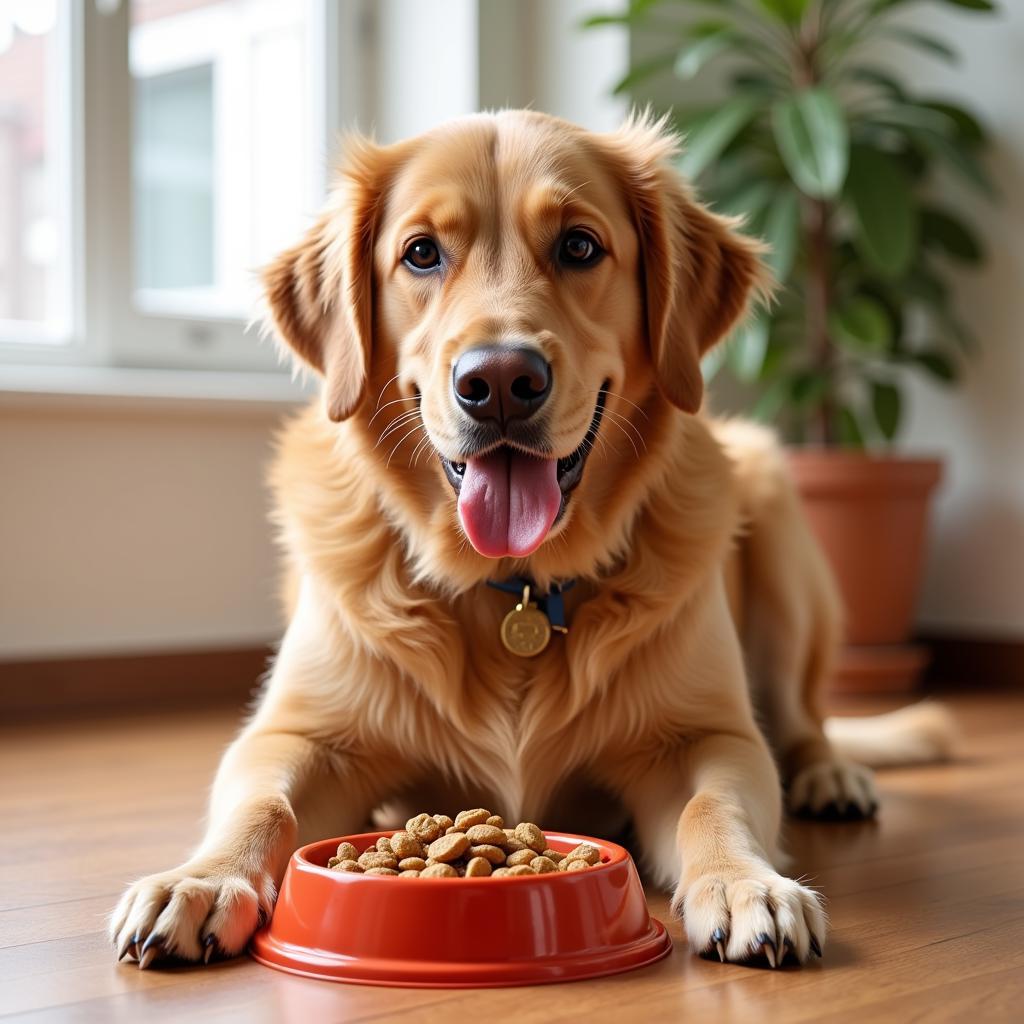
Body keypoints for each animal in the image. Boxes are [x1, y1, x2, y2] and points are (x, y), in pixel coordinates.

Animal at [108, 110, 946, 966]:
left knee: (806, 722)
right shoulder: (297, 734)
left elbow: (713, 806)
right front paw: (202, 879)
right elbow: (263, 806)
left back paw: (830, 777)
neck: (515, 587)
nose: (501, 382)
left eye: (579, 245)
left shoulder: (706, 735)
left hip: (777, 505)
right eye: (421, 252)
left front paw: (748, 885)